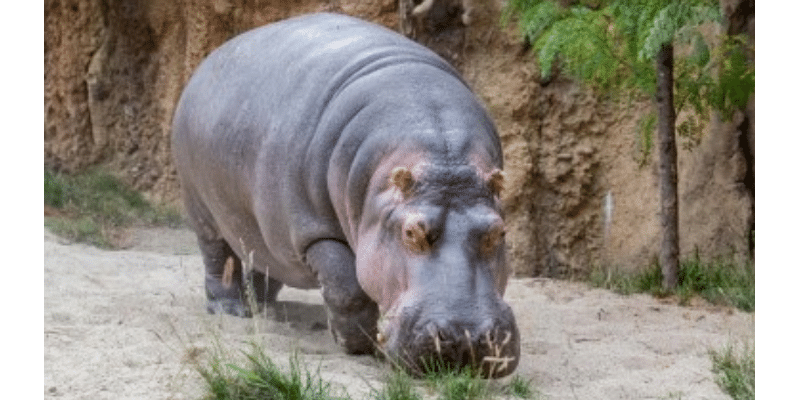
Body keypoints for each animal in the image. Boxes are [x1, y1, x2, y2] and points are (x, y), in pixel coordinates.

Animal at [171, 10, 520, 376]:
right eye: (411, 232)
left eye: (499, 232)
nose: (467, 338)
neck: (440, 155)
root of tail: (210, 60)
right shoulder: (313, 230)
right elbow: (345, 288)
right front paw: (358, 344)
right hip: (201, 206)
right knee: (217, 256)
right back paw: (231, 310)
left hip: (260, 230)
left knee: (263, 261)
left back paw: (264, 307)